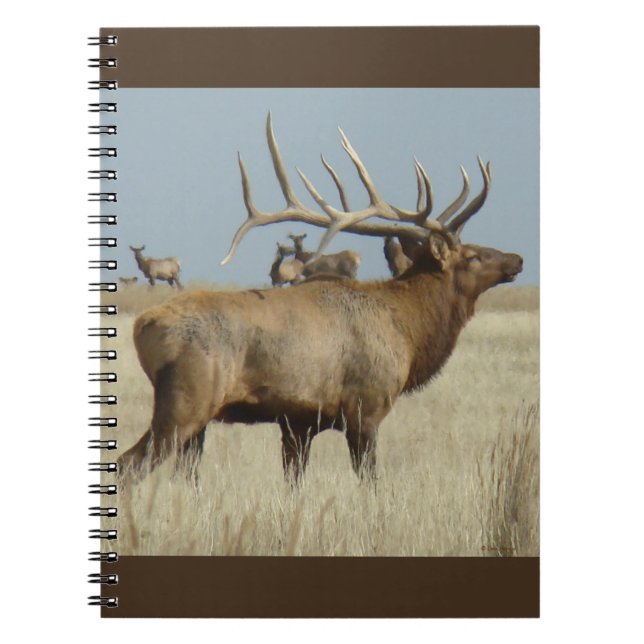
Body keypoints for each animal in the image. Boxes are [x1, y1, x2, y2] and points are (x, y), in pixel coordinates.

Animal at [117, 113, 522, 485]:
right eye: (472, 255)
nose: (516, 259)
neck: (408, 332)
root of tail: (142, 326)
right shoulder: (365, 407)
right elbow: (370, 481)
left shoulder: (298, 422)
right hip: (186, 402)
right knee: (127, 465)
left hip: (197, 419)